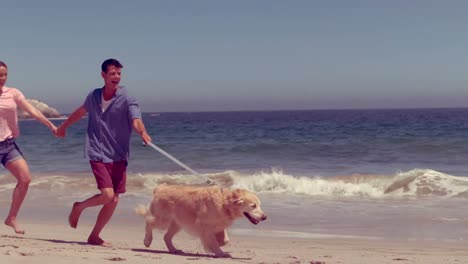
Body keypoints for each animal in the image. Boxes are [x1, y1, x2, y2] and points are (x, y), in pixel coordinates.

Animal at [135, 184, 266, 258]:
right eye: (253, 206)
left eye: (260, 205)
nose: (265, 217)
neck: (225, 203)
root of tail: (159, 188)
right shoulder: (206, 227)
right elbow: (213, 242)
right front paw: (220, 253)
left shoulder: (218, 225)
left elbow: (225, 240)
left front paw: (218, 245)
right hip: (162, 219)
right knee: (149, 222)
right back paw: (147, 240)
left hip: (177, 223)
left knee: (166, 236)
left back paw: (174, 250)